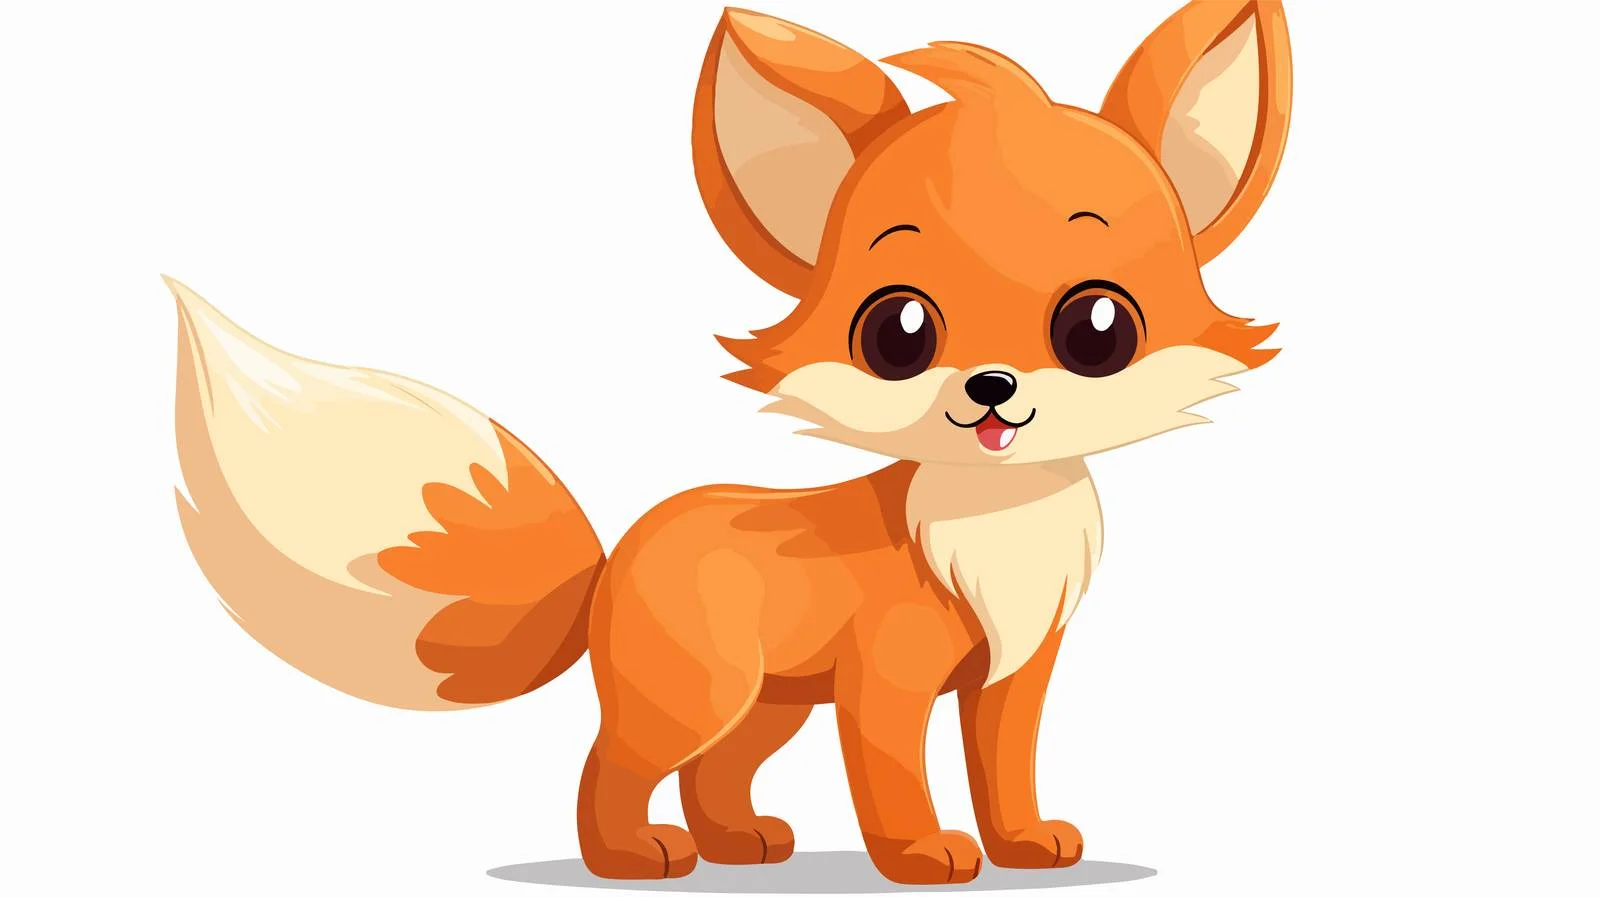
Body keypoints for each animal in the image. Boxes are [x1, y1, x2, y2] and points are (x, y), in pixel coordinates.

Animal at [170, 1, 1290, 885]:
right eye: (898, 332)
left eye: (1098, 328)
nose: (991, 389)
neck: (992, 526)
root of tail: (614, 556)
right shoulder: (885, 680)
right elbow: (895, 777)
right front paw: (922, 856)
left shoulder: (1015, 674)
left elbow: (1003, 770)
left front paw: (1021, 844)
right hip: (697, 695)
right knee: (613, 765)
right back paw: (631, 857)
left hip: (767, 703)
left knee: (715, 774)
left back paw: (740, 842)